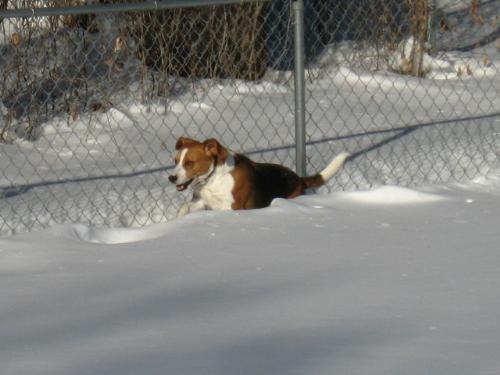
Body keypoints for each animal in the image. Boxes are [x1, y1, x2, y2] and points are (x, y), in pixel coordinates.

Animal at [168, 137, 348, 217]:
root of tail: (298, 179)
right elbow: (184, 208)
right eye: (175, 161)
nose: (171, 178)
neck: (212, 179)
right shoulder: (201, 202)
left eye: (189, 163)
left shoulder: (232, 208)